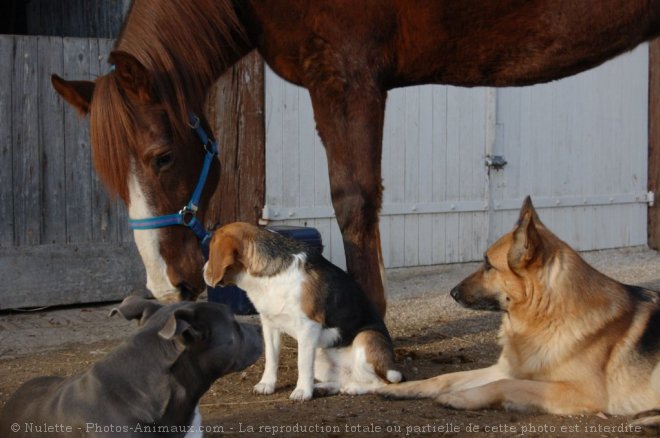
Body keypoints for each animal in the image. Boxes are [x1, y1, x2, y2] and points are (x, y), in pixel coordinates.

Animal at [204, 222, 400, 400]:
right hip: (321, 356)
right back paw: (324, 388)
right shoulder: (270, 325)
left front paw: (302, 391)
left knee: (380, 383)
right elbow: (271, 358)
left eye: (211, 249)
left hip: (365, 338)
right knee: (345, 380)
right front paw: (267, 384)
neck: (272, 278)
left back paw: (352, 389)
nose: (203, 270)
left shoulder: (308, 326)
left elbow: (302, 363)